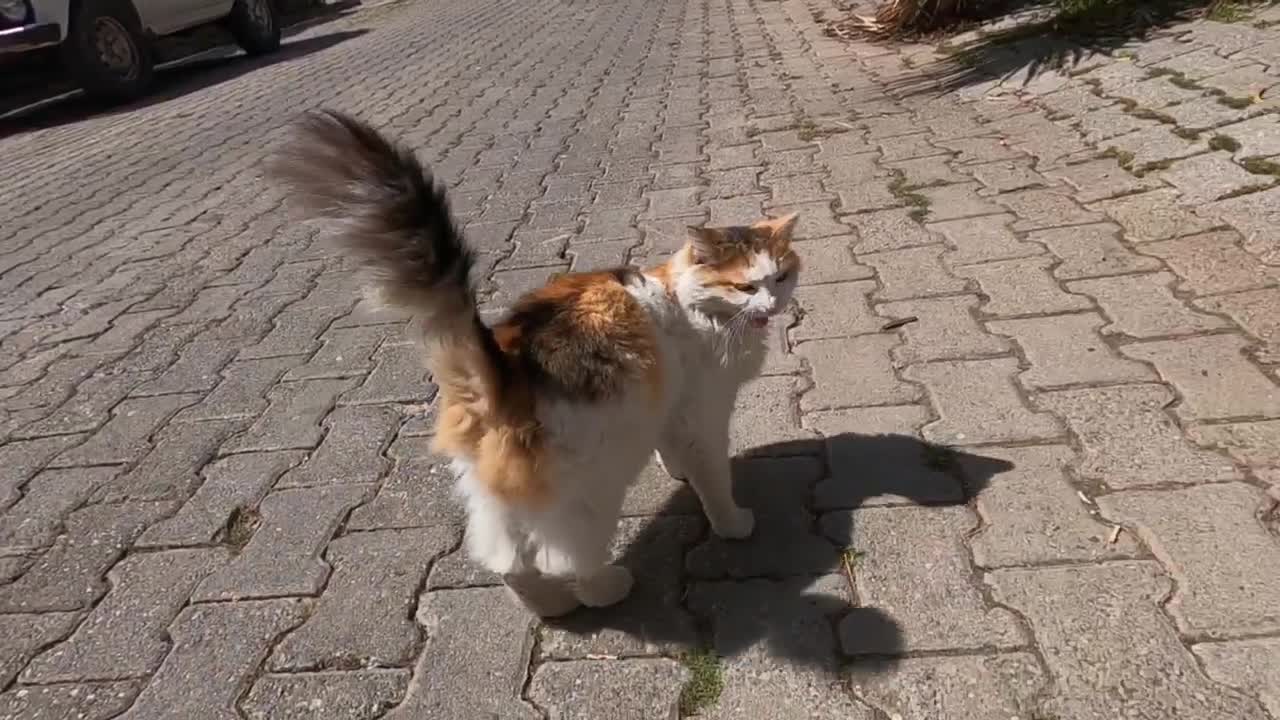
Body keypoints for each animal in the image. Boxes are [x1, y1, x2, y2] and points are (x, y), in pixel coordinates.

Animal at [272, 109, 798, 614]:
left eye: (782, 277)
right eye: (746, 286)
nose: (773, 305)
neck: (690, 307)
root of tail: (505, 366)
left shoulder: (670, 407)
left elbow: (672, 451)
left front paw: (677, 472)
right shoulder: (702, 417)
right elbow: (715, 482)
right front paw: (733, 523)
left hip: (502, 498)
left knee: (508, 563)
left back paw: (552, 609)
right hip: (591, 486)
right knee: (565, 561)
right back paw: (607, 589)